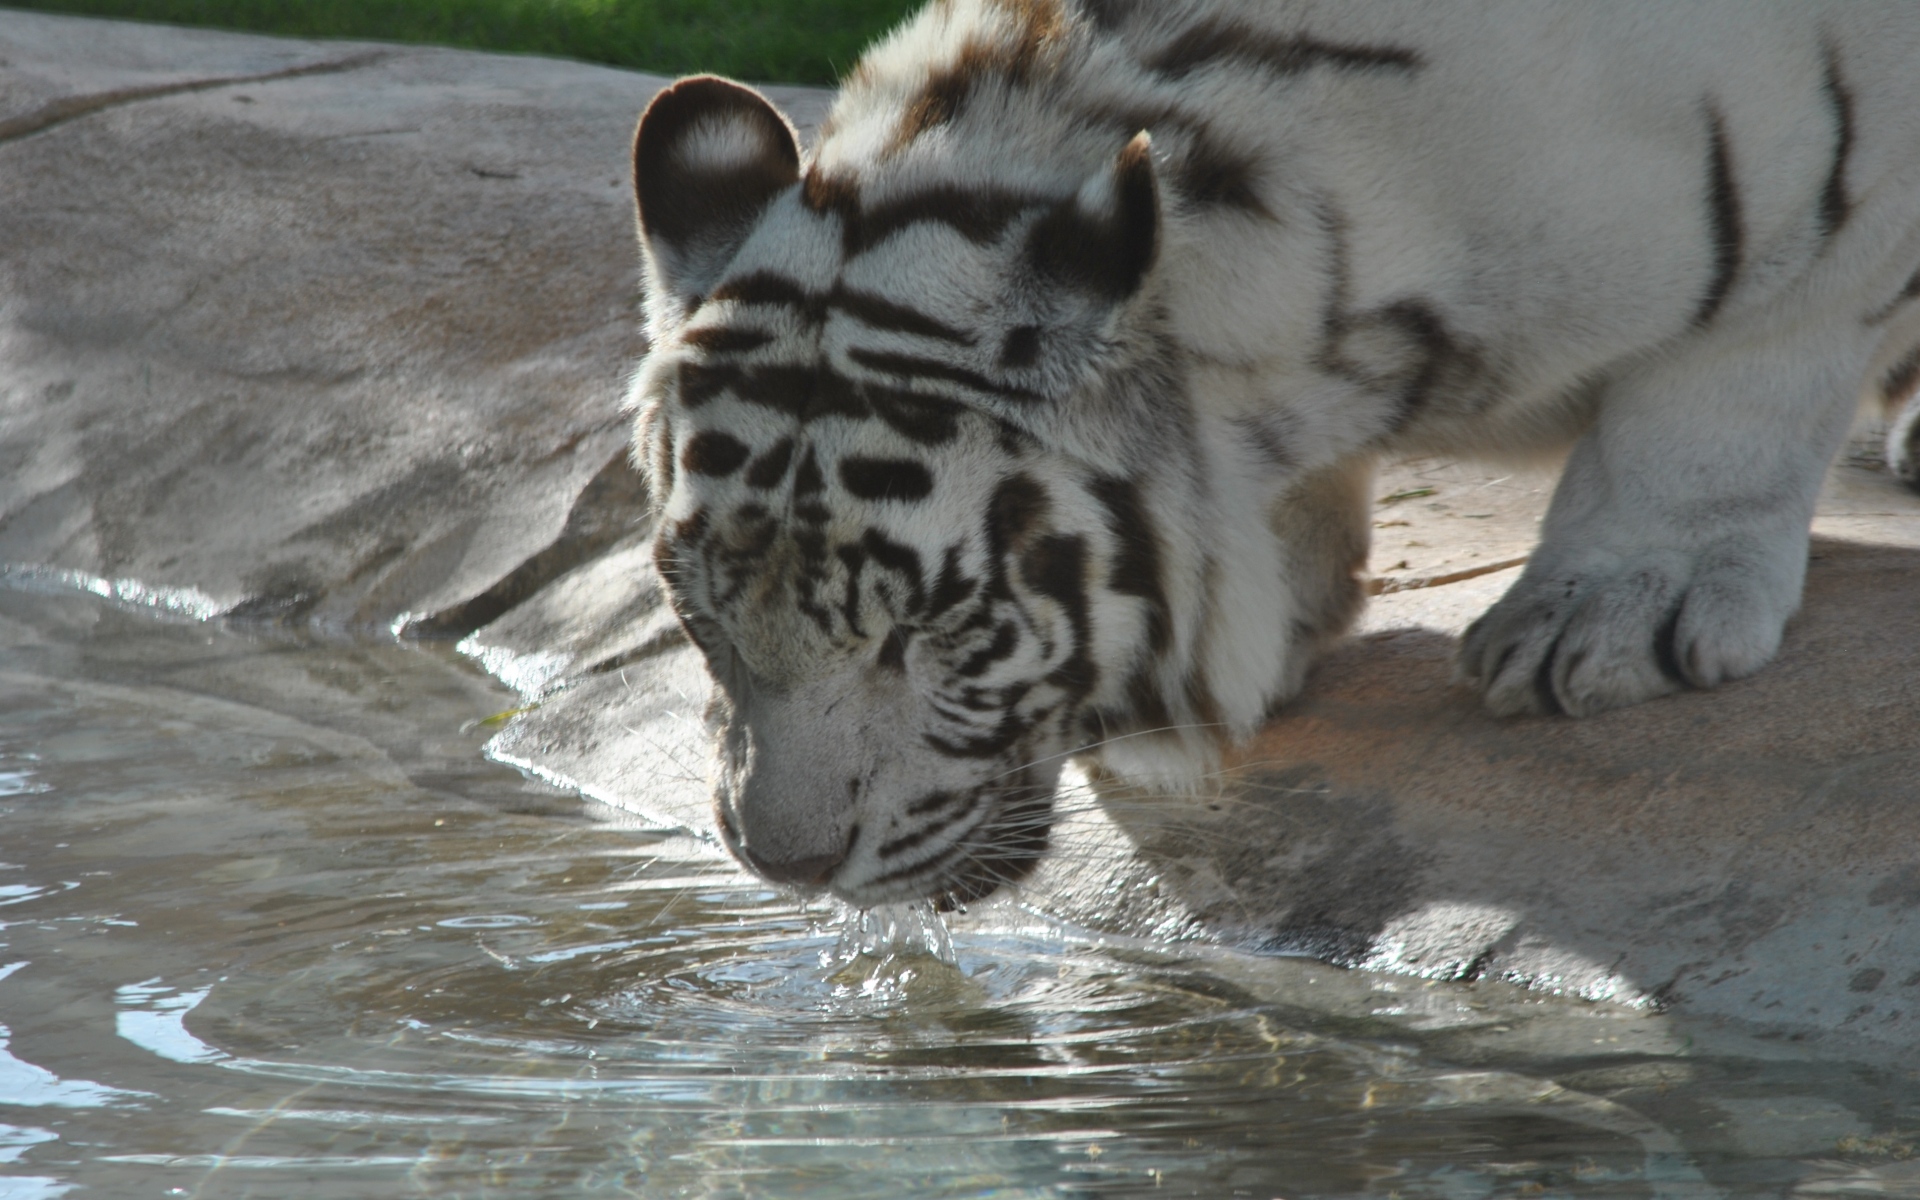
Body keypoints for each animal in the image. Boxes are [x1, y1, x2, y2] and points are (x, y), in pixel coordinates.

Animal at [623, 0, 1920, 909]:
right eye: (699, 616)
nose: (785, 865)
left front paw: (1609, 616)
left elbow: (1729, 388)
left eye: (931, 629)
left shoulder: (1842, 188)